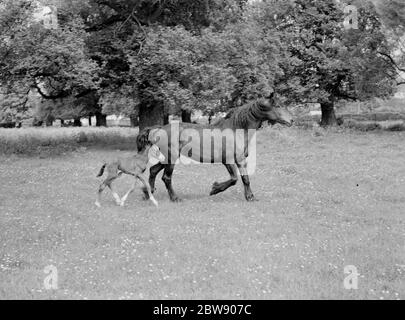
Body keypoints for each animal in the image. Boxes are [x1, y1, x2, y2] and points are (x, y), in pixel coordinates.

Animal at [137, 94, 294, 201]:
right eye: (277, 105)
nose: (292, 120)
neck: (236, 129)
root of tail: (158, 129)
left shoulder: (238, 160)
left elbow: (243, 179)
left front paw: (249, 197)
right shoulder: (229, 160)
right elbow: (236, 179)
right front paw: (215, 189)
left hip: (166, 158)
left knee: (153, 171)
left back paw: (148, 193)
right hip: (171, 158)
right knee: (166, 177)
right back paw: (175, 198)